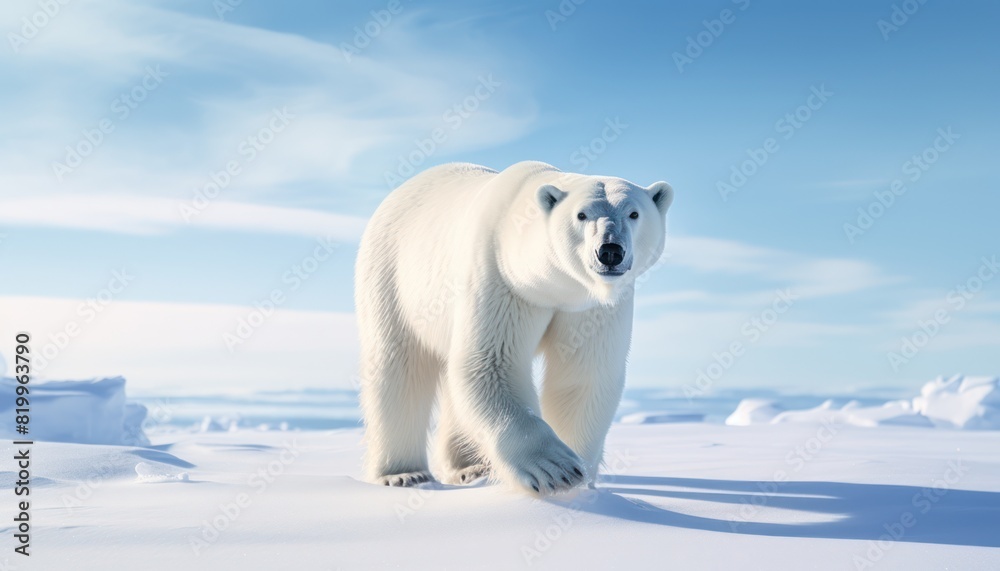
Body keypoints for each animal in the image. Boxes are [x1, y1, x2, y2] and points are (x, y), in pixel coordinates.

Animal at [355, 161, 673, 494]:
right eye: (581, 214)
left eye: (634, 213)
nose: (610, 251)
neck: (551, 285)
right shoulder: (501, 279)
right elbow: (490, 364)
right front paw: (556, 470)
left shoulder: (592, 307)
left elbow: (585, 374)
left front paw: (581, 474)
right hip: (391, 277)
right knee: (399, 369)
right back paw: (404, 474)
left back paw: (470, 467)